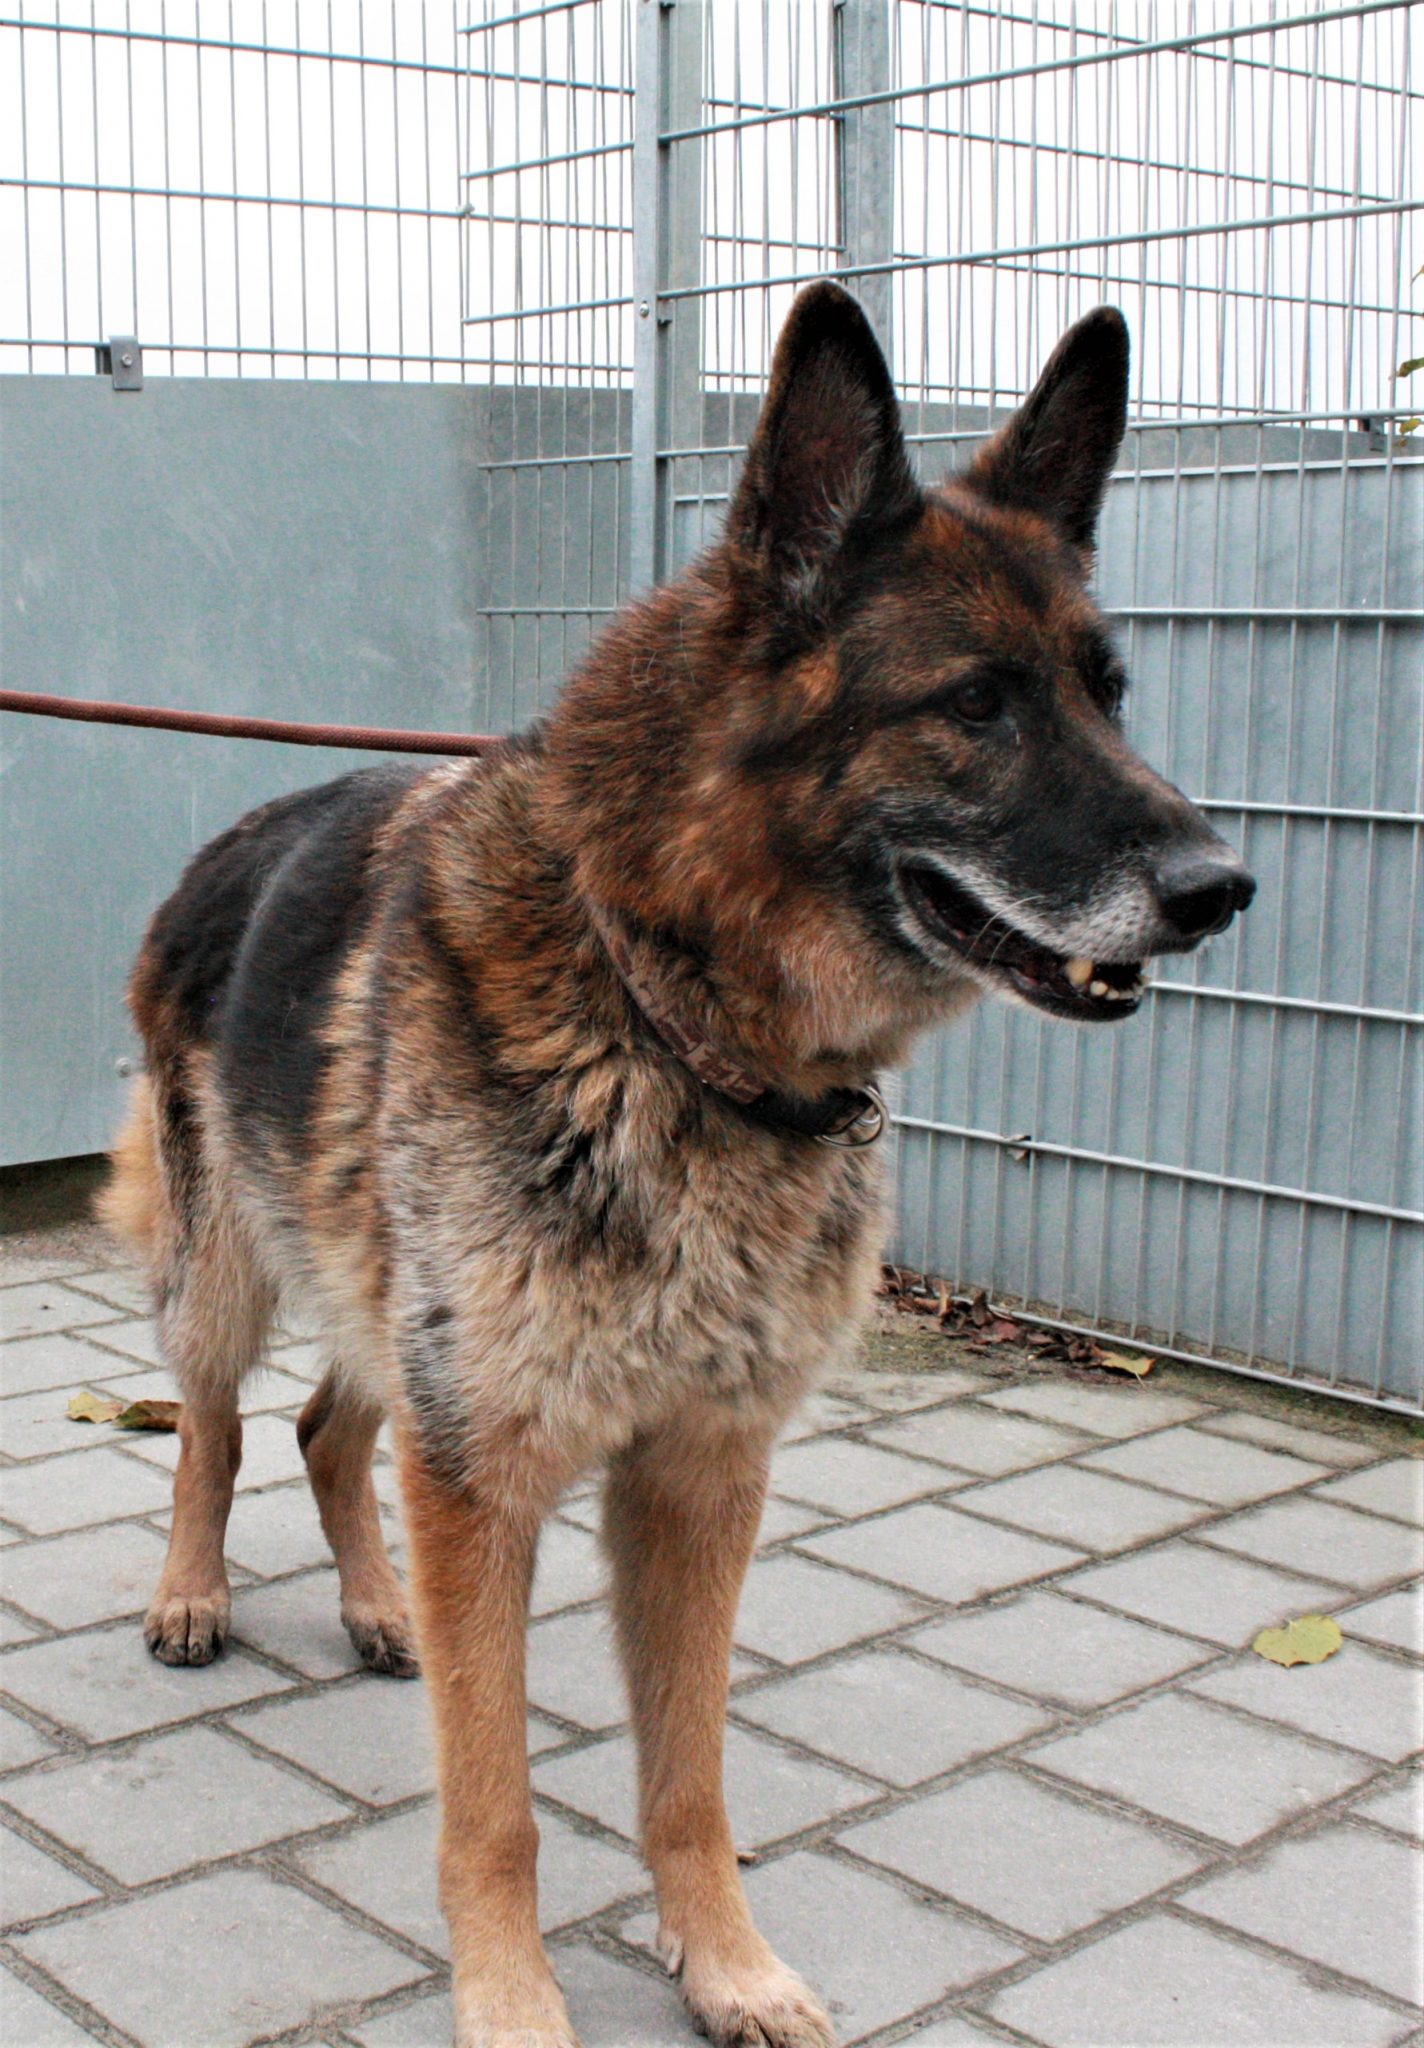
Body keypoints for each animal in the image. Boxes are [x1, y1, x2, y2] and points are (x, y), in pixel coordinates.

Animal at [102, 292, 1245, 2048]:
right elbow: (492, 1803)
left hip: (386, 1306)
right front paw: (514, 2006)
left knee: (325, 1429)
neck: (663, 1005)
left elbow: (691, 1776)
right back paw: (191, 1595)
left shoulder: (701, 1478)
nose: (1222, 886)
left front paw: (724, 1962)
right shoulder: (488, 1471)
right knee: (221, 1429)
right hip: (227, 1271)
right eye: (977, 705)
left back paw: (377, 1606)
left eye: (1109, 695)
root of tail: (233, 829)